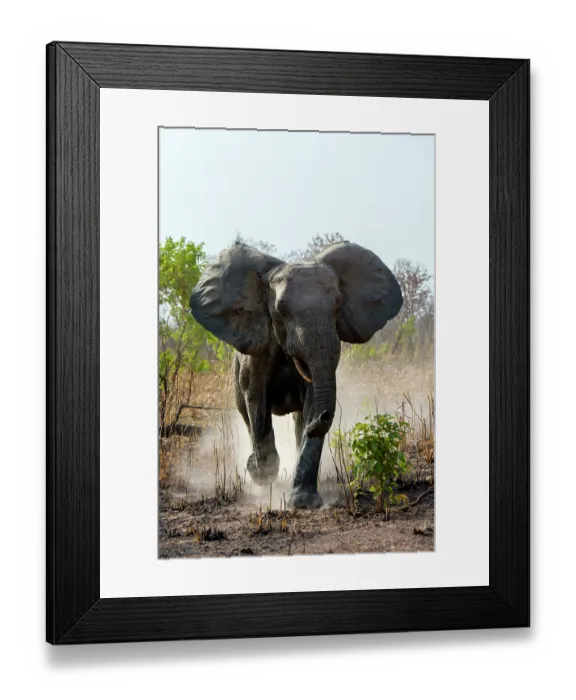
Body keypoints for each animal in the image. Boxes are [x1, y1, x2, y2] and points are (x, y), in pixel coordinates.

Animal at [189, 240, 403, 509]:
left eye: (337, 305)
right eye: (280, 311)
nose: (324, 416)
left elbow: (311, 401)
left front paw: (303, 502)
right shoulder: (258, 352)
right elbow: (256, 401)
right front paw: (260, 473)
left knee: (298, 419)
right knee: (248, 416)